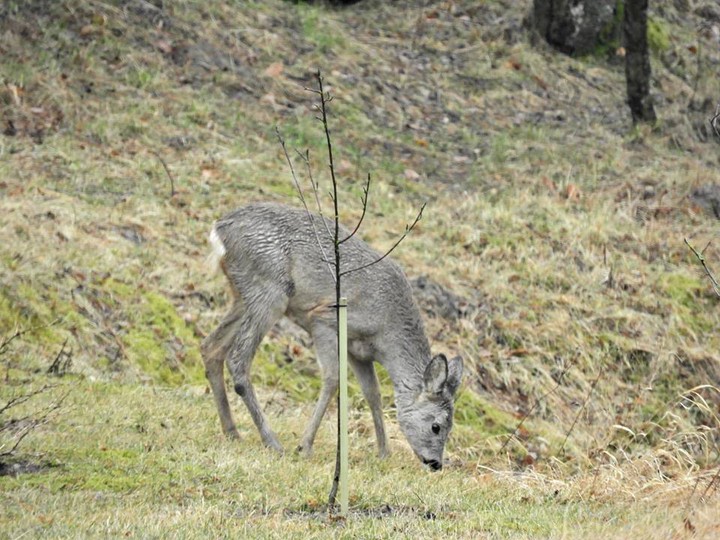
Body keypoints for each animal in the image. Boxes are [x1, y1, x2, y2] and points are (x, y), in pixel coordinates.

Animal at [200, 201, 464, 468]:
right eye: (436, 426)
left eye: (451, 426)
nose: (436, 463)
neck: (386, 330)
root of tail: (220, 229)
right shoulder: (324, 318)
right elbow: (333, 378)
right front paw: (304, 446)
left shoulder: (358, 351)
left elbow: (373, 394)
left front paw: (384, 453)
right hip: (270, 289)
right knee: (238, 359)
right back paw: (272, 442)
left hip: (243, 295)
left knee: (210, 347)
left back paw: (232, 432)